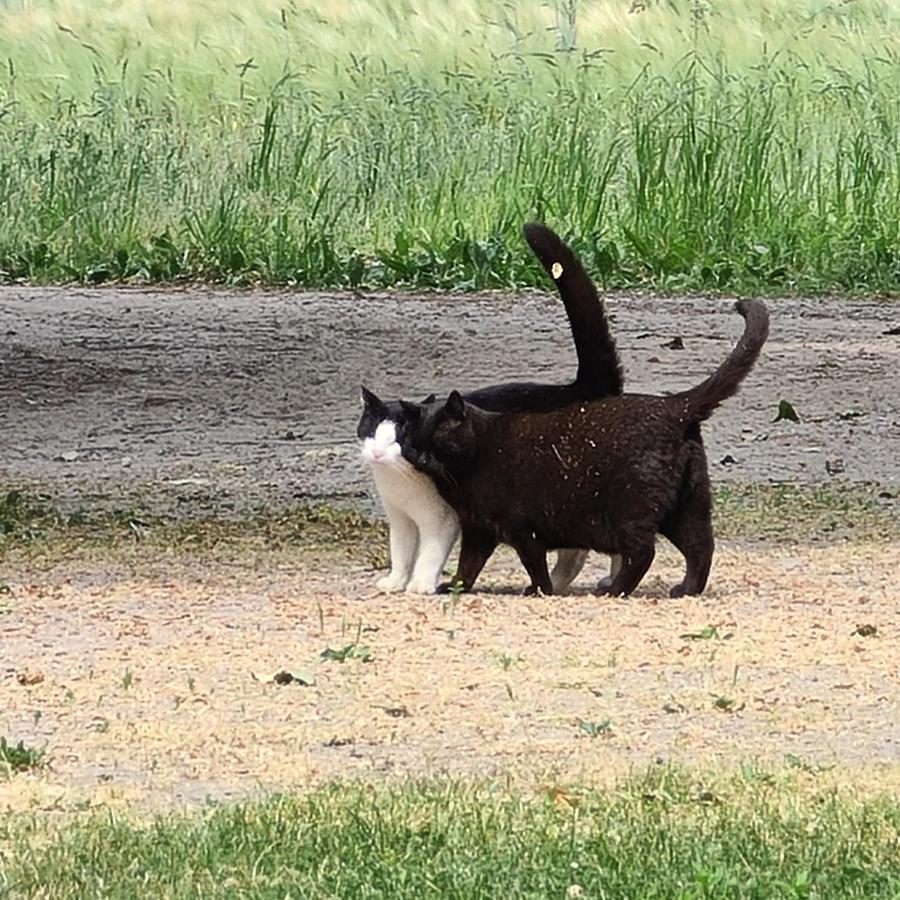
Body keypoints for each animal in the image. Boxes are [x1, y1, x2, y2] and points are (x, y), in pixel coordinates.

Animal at [356, 221, 624, 596]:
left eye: (399, 437)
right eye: (372, 431)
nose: (379, 453)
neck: (399, 484)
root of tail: (581, 386)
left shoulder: (442, 520)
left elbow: (429, 554)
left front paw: (421, 584)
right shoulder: (401, 520)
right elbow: (401, 551)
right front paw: (395, 581)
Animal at [404, 300, 768, 596]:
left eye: (437, 441)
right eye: (411, 441)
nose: (420, 457)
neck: (465, 472)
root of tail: (674, 406)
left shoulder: (521, 529)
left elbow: (533, 565)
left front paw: (540, 590)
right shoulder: (478, 530)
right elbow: (468, 565)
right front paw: (453, 587)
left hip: (632, 512)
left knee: (644, 552)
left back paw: (615, 590)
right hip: (686, 508)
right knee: (700, 546)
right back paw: (686, 589)